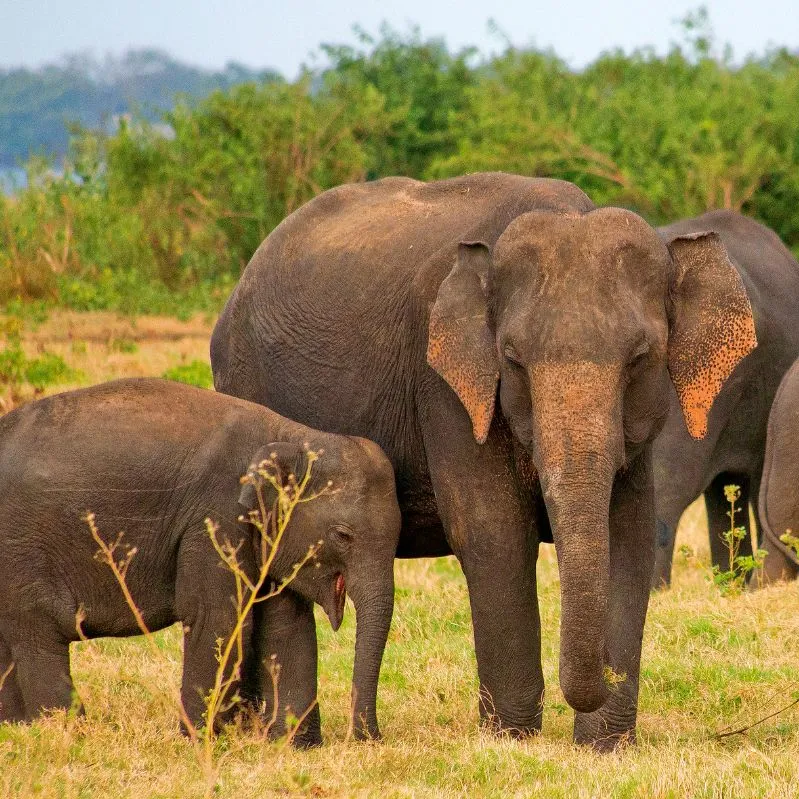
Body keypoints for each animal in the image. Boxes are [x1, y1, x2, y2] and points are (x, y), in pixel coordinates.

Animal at [0, 378, 400, 748]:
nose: (368, 739)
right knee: (39, 627)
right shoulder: (216, 517)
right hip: (22, 545)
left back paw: (16, 729)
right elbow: (217, 617)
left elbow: (287, 625)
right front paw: (197, 743)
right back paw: (69, 733)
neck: (291, 436)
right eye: (343, 535)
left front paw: (294, 747)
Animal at [208, 173, 756, 752]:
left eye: (639, 359)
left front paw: (604, 748)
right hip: (246, 385)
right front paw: (512, 739)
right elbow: (494, 534)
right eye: (512, 360)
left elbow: (627, 535)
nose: (601, 681)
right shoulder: (447, 389)